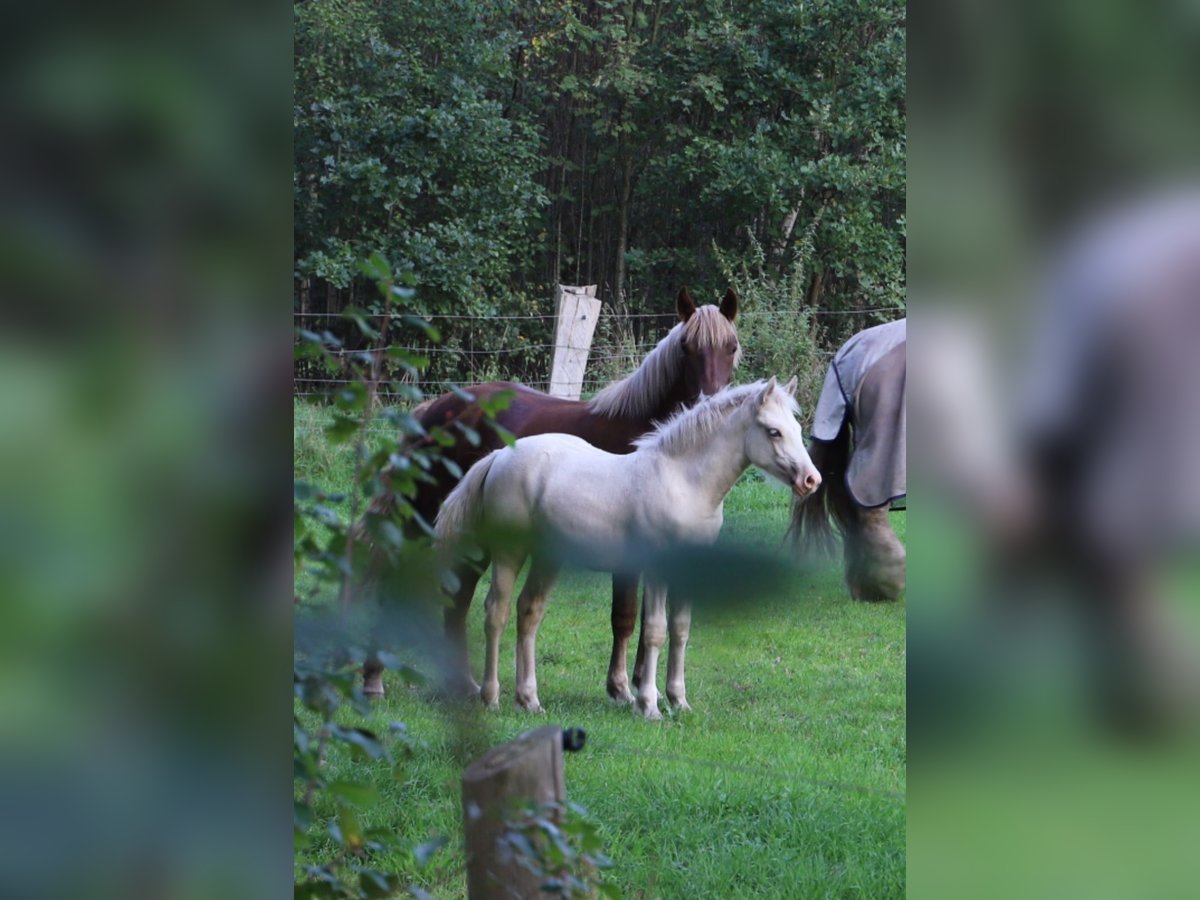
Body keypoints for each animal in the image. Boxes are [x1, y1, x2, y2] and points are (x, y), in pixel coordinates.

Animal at [360, 289, 744, 705]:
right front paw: (622, 688)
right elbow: (624, 617)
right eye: (687, 347)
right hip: (424, 516)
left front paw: (643, 684)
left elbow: (645, 621)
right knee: (391, 576)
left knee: (457, 598)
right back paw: (374, 679)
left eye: (731, 346)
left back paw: (463, 684)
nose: (709, 401)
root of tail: (437, 408)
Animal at [436, 376, 820, 724]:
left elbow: (681, 628)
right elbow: (654, 630)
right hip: (508, 553)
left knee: (528, 612)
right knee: (495, 612)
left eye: (795, 429)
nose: (811, 480)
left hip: (547, 557)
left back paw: (529, 700)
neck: (683, 482)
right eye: (773, 431)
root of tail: (499, 455)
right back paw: (490, 697)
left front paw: (679, 701)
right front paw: (648, 705)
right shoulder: (657, 570)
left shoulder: (689, 570)